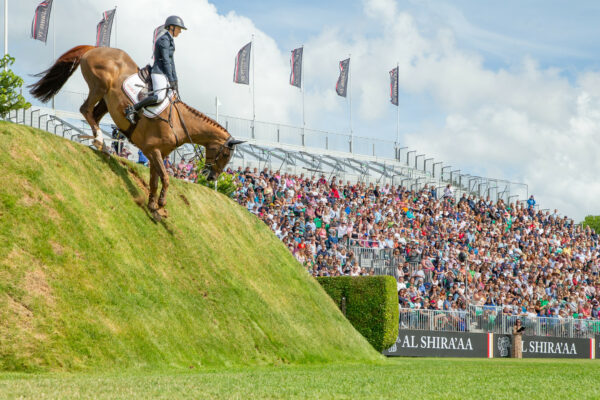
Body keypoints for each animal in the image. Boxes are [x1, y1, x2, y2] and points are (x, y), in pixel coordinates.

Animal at [28, 44, 244, 216]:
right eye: (226, 155)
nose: (212, 177)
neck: (179, 124)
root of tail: (96, 47)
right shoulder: (153, 150)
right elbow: (166, 178)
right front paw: (161, 203)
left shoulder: (155, 154)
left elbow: (155, 180)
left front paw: (153, 206)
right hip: (100, 85)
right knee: (86, 110)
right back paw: (100, 141)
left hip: (106, 99)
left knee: (93, 115)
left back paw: (100, 143)